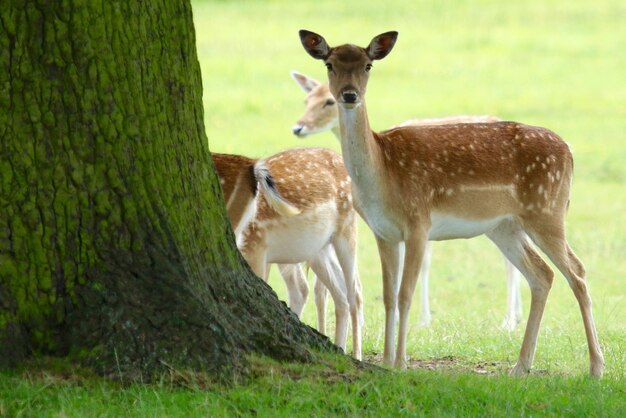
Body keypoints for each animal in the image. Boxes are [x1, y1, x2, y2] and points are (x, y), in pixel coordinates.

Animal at [212, 149, 364, 358]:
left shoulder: (256, 245)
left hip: (346, 229)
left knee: (353, 292)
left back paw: (359, 357)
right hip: (317, 249)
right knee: (336, 293)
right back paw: (340, 350)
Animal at [290, 70, 524, 330]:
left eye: (328, 101)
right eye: (306, 100)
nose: (298, 128)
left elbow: (423, 264)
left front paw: (423, 320)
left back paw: (509, 321)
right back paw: (516, 316)